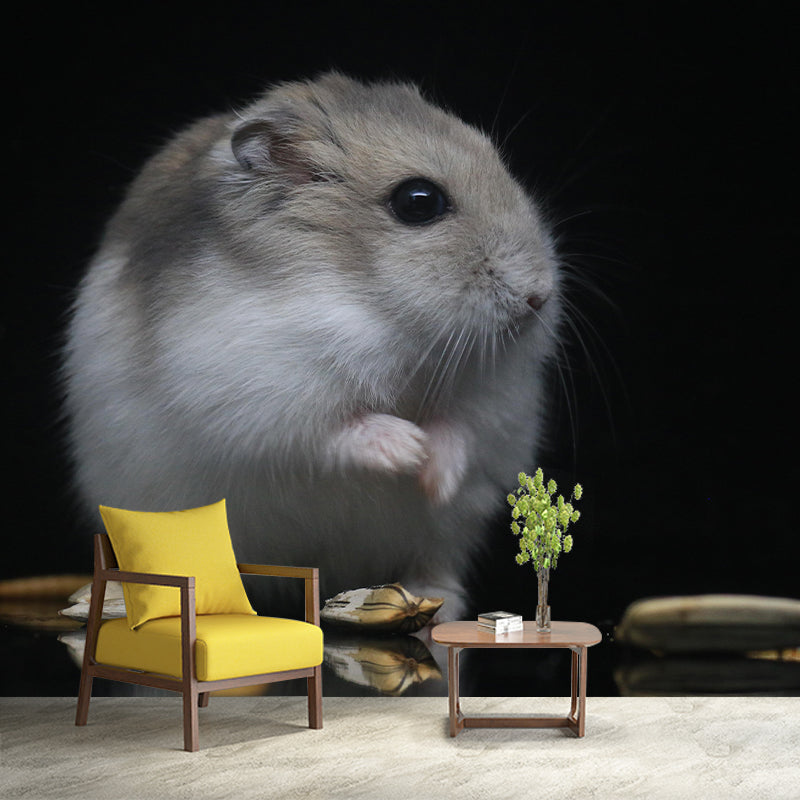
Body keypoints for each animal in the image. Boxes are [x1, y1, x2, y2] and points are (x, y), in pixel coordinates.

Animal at [62, 71, 561, 621]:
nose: (539, 296)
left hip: (445, 534)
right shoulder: (258, 398)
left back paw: (438, 604)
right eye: (419, 200)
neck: (379, 310)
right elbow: (335, 431)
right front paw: (408, 448)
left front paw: (435, 475)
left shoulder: (497, 400)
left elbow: (462, 427)